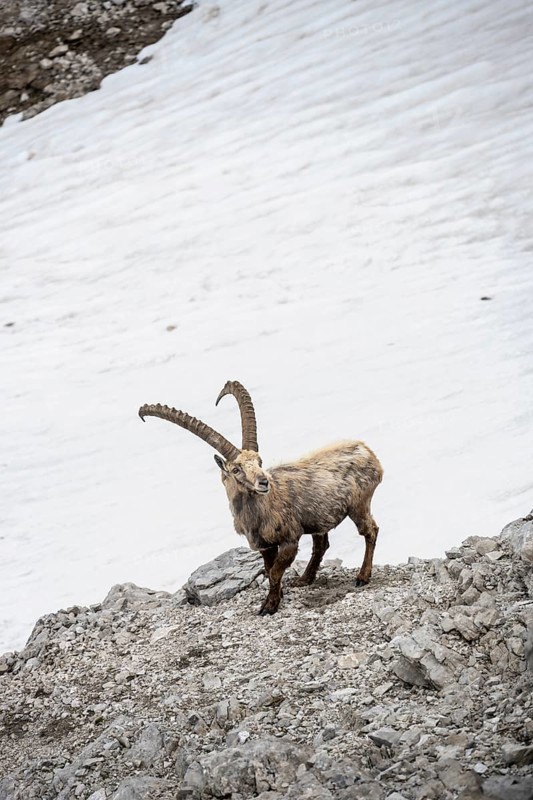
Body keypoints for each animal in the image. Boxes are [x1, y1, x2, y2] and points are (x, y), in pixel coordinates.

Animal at [139, 381, 383, 615]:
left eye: (259, 461)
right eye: (236, 469)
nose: (264, 482)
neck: (260, 511)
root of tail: (369, 453)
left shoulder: (289, 540)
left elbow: (274, 573)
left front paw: (269, 607)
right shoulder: (265, 546)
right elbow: (268, 570)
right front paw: (277, 597)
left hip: (359, 504)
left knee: (370, 530)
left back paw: (362, 577)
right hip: (318, 519)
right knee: (321, 544)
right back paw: (304, 579)